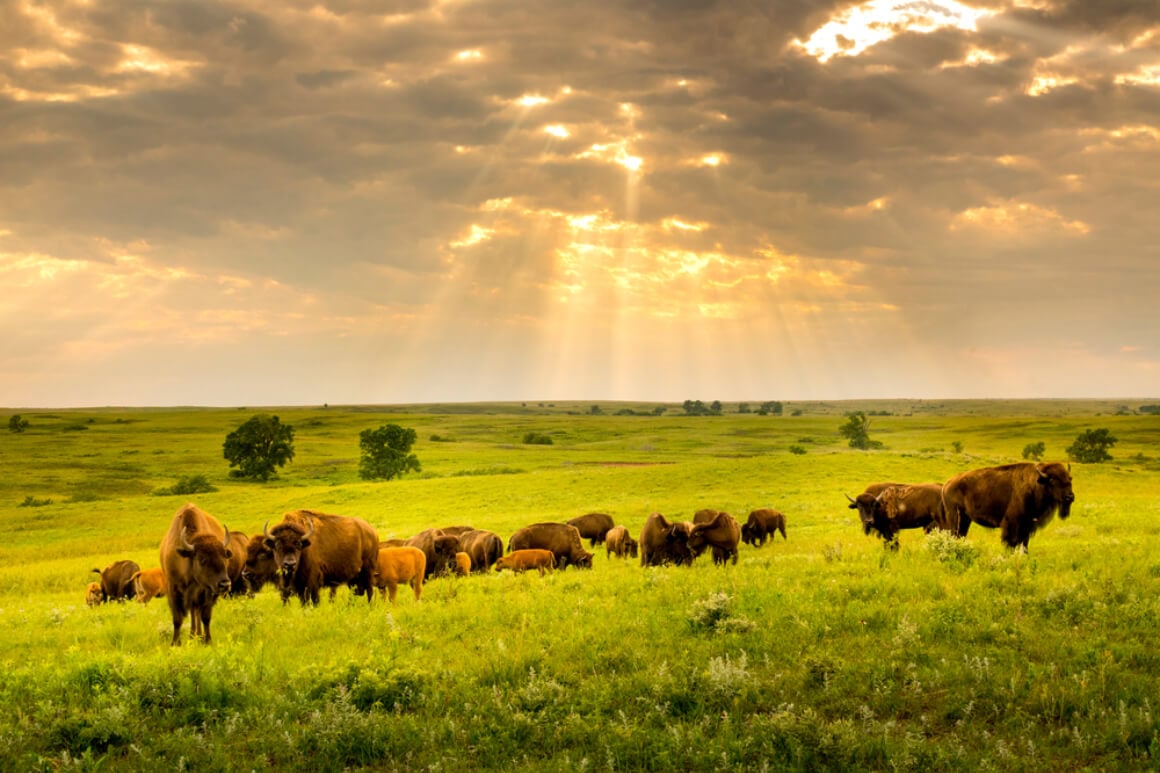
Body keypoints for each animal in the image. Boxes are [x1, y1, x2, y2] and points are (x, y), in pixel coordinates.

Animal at [158, 499, 233, 645]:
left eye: (224, 556)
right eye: (202, 559)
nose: (225, 584)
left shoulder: (207, 592)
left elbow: (205, 617)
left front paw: (207, 640)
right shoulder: (173, 589)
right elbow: (177, 619)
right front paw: (175, 643)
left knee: (196, 613)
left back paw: (197, 635)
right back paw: (193, 635)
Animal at [941, 457, 1076, 547]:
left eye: (1070, 479)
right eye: (1053, 481)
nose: (1070, 497)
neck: (1036, 484)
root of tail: (947, 484)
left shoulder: (1027, 526)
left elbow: (1023, 545)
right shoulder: (1012, 524)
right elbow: (1011, 543)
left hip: (965, 519)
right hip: (956, 518)